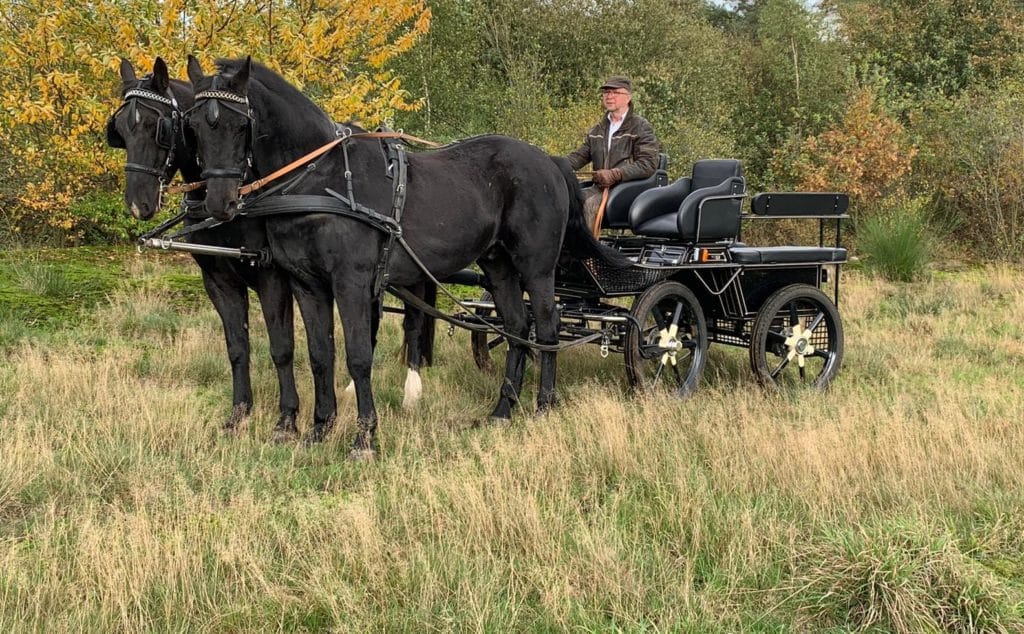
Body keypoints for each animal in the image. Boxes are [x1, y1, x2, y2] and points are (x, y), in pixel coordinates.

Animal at [186, 57, 622, 458]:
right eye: (194, 127)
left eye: (240, 124)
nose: (219, 203)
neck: (319, 178)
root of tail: (549, 161)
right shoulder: (306, 284)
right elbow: (320, 354)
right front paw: (319, 428)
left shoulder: (351, 281)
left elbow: (358, 356)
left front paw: (364, 438)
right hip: (498, 266)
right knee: (516, 326)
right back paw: (502, 410)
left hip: (537, 267)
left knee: (545, 328)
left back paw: (543, 404)